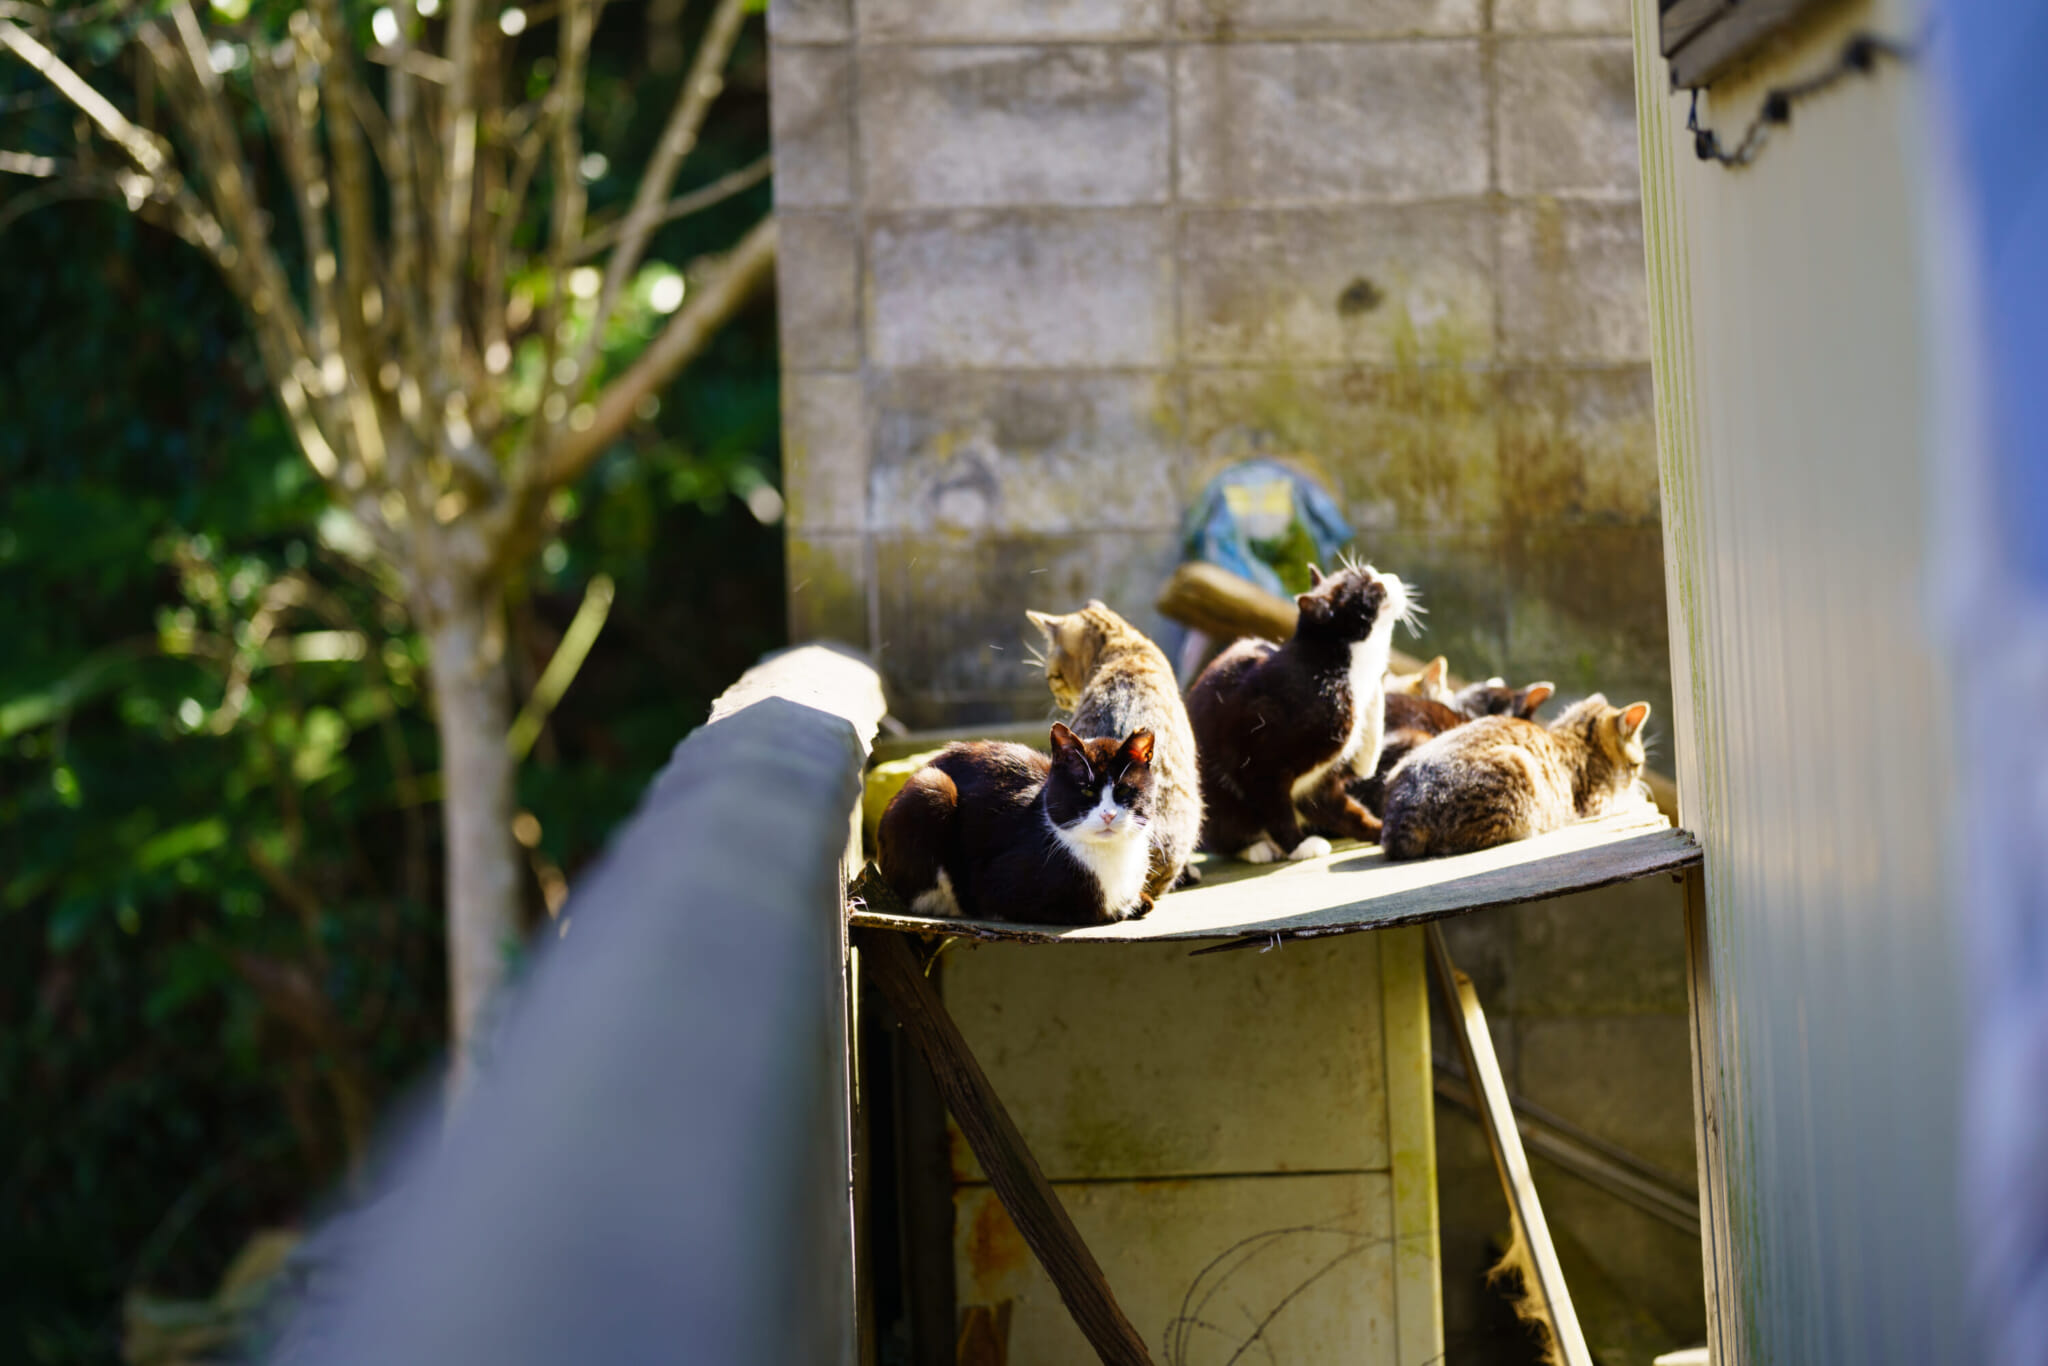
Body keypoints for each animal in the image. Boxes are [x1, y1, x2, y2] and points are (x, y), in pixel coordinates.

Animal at [880, 716, 1163, 929]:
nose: (1108, 815)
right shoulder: (994, 885)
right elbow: (1088, 911)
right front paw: (1120, 908)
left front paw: (1137, 901)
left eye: (1123, 790)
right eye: (1087, 790)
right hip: (931, 788)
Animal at [1196, 565, 1417, 864]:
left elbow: (1360, 776)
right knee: (1228, 829)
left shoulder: (1326, 775)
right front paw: (1297, 845)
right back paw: (1258, 848)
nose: (1391, 577)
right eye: (1372, 586)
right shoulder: (1258, 758)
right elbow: (1275, 807)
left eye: (1372, 571)